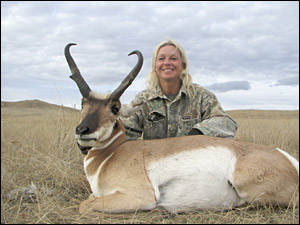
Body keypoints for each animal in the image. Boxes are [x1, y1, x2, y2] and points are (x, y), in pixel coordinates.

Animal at [64, 43, 298, 214]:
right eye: (83, 104)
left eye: (115, 108)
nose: (83, 131)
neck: (112, 155)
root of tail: (289, 160)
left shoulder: (140, 196)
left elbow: (85, 205)